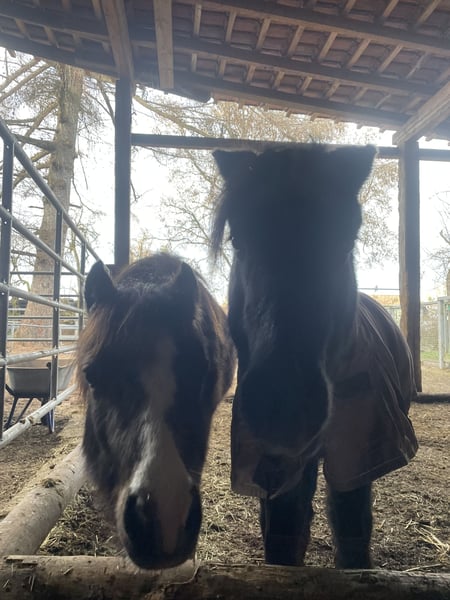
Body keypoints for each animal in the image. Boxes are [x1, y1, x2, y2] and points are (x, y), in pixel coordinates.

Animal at [211, 144, 418, 569]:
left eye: (345, 243)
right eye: (238, 240)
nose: (282, 407)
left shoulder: (359, 456)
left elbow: (351, 533)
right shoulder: (270, 465)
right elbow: (284, 537)